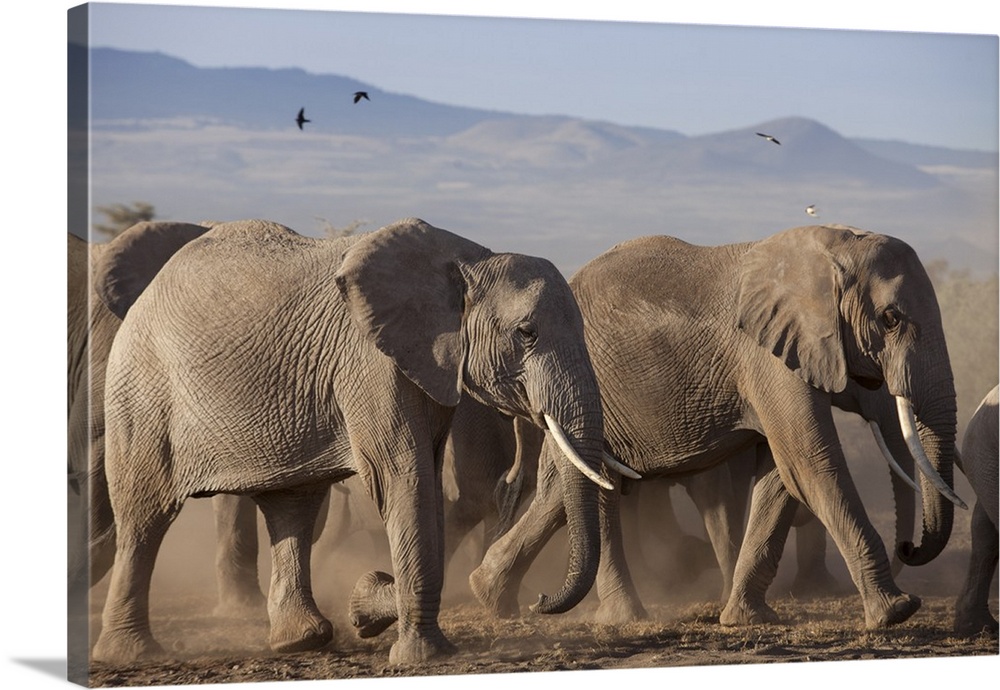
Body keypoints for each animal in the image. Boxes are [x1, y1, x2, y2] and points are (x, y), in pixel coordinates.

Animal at [90, 218, 612, 664]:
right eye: (526, 332)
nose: (539, 601)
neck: (470, 257)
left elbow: (427, 479)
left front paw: (368, 604)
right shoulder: (369, 362)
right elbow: (404, 474)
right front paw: (420, 654)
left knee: (292, 505)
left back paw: (301, 641)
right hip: (141, 390)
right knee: (144, 514)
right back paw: (131, 654)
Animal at [472, 224, 964, 628]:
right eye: (890, 319)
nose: (909, 549)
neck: (828, 249)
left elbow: (782, 475)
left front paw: (747, 619)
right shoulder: (765, 358)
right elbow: (811, 465)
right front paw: (897, 613)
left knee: (563, 488)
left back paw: (492, 594)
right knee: (599, 488)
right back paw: (620, 618)